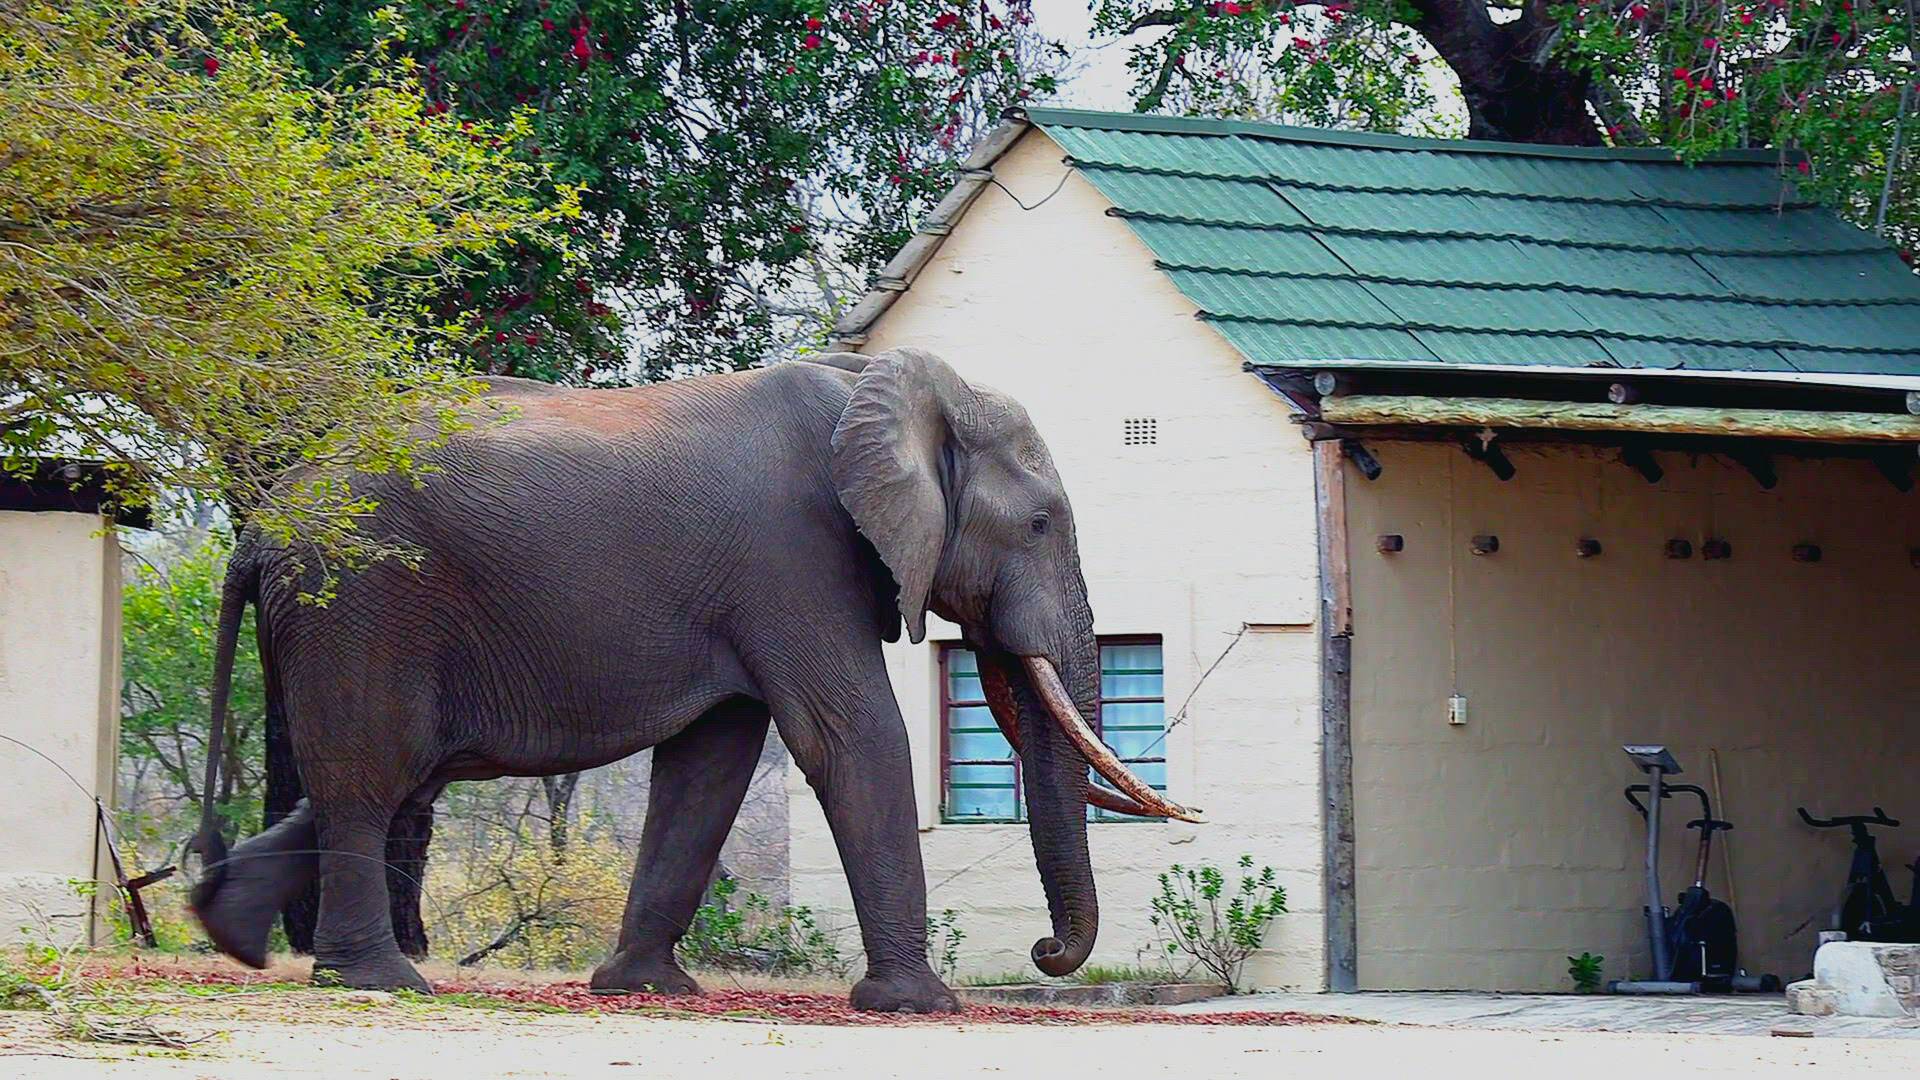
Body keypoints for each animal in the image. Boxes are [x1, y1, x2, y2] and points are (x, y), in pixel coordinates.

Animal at [187, 345, 1190, 1006]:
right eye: (1040, 526)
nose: (1047, 951)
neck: (876, 383)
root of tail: (263, 524)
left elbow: (710, 766)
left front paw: (645, 988)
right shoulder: (795, 555)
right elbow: (849, 735)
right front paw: (919, 1005)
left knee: (388, 779)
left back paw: (228, 932)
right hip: (359, 603)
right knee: (372, 778)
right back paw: (382, 980)